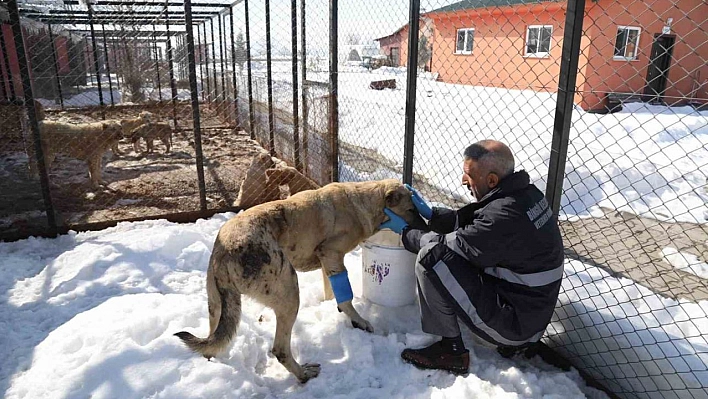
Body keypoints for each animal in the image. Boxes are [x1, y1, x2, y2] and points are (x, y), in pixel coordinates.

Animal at [176, 180, 426, 382]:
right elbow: (346, 300)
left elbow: (331, 292)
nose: (426, 227)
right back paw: (303, 374)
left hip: (216, 305)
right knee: (280, 349)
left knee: (212, 342)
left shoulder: (328, 262)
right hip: (290, 292)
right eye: (411, 209)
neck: (364, 202)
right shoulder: (331, 254)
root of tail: (225, 251)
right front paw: (358, 320)